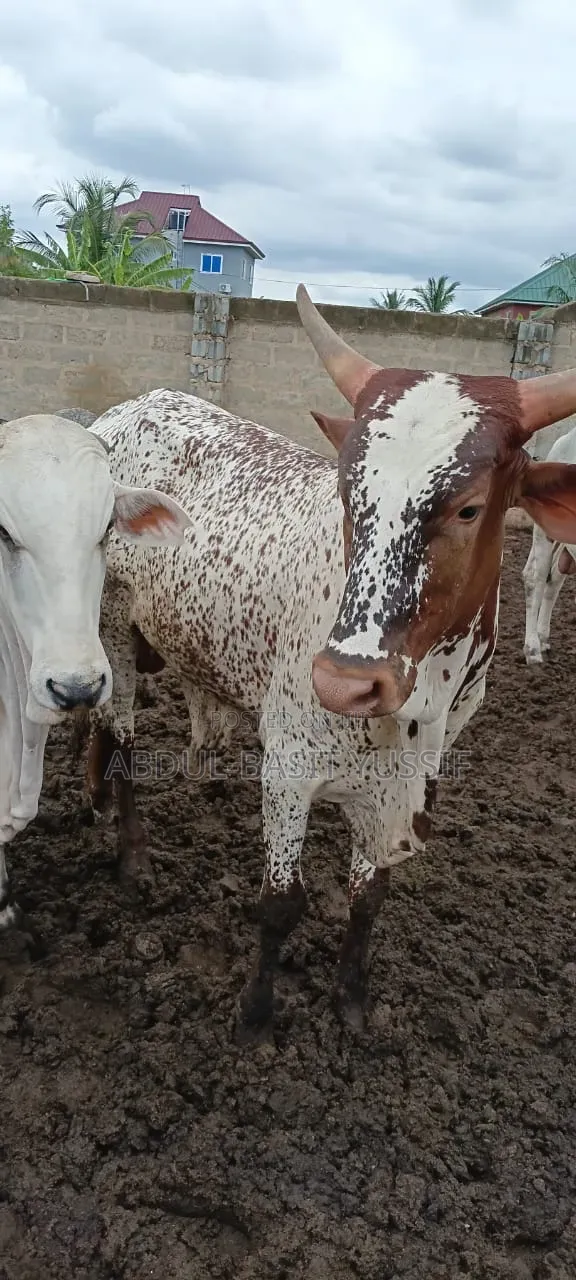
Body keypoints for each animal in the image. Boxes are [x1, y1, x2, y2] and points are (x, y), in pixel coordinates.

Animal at [83, 285, 576, 1035]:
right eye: (350, 494)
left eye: (468, 509)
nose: (344, 683)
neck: (423, 695)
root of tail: (121, 412)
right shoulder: (288, 766)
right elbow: (282, 903)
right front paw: (256, 1015)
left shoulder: (413, 773)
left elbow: (368, 895)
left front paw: (352, 1003)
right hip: (112, 626)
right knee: (123, 736)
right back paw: (133, 855)